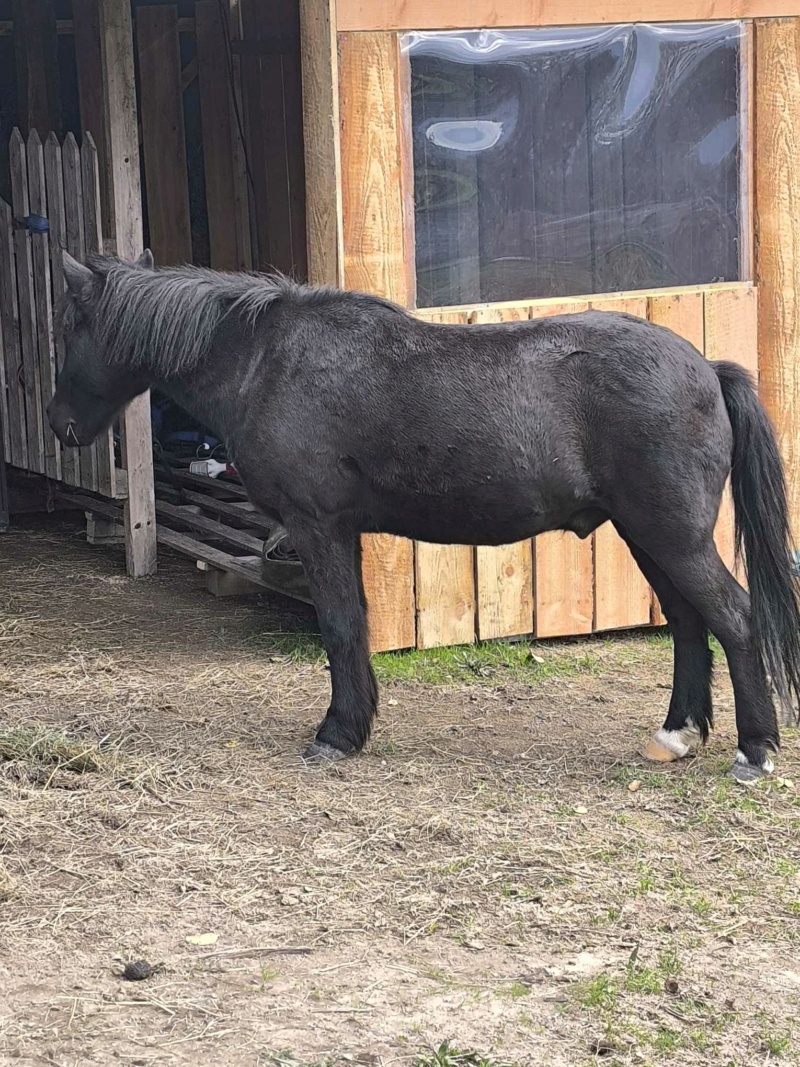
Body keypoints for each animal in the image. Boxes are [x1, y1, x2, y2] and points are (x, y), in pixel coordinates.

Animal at [50, 252, 800, 781]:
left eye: (71, 327)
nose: (59, 424)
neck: (266, 361)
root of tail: (707, 369)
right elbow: (352, 625)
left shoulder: (318, 526)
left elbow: (342, 626)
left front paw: (337, 733)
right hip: (650, 536)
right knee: (687, 624)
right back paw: (676, 735)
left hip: (672, 536)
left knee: (734, 618)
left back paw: (755, 751)